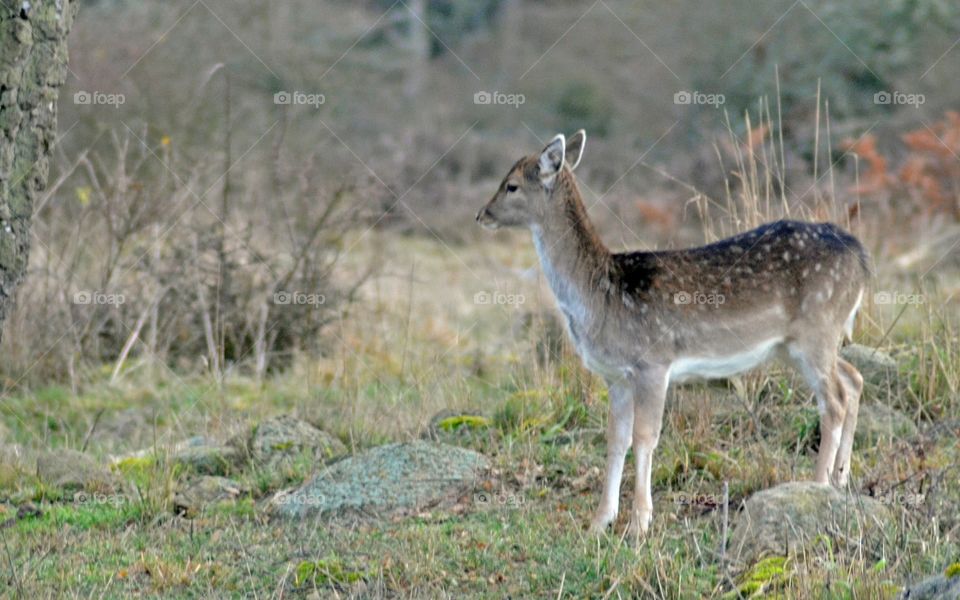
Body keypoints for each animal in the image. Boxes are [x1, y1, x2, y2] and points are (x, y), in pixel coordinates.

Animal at [474, 130, 872, 536]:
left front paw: (639, 524)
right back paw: (841, 478)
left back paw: (818, 486)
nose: (481, 214)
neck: (601, 298)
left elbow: (645, 437)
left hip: (817, 328)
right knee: (853, 378)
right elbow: (615, 440)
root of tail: (861, 257)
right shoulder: (615, 376)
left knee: (834, 399)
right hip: (799, 343)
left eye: (511, 185)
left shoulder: (653, 361)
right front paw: (600, 522)